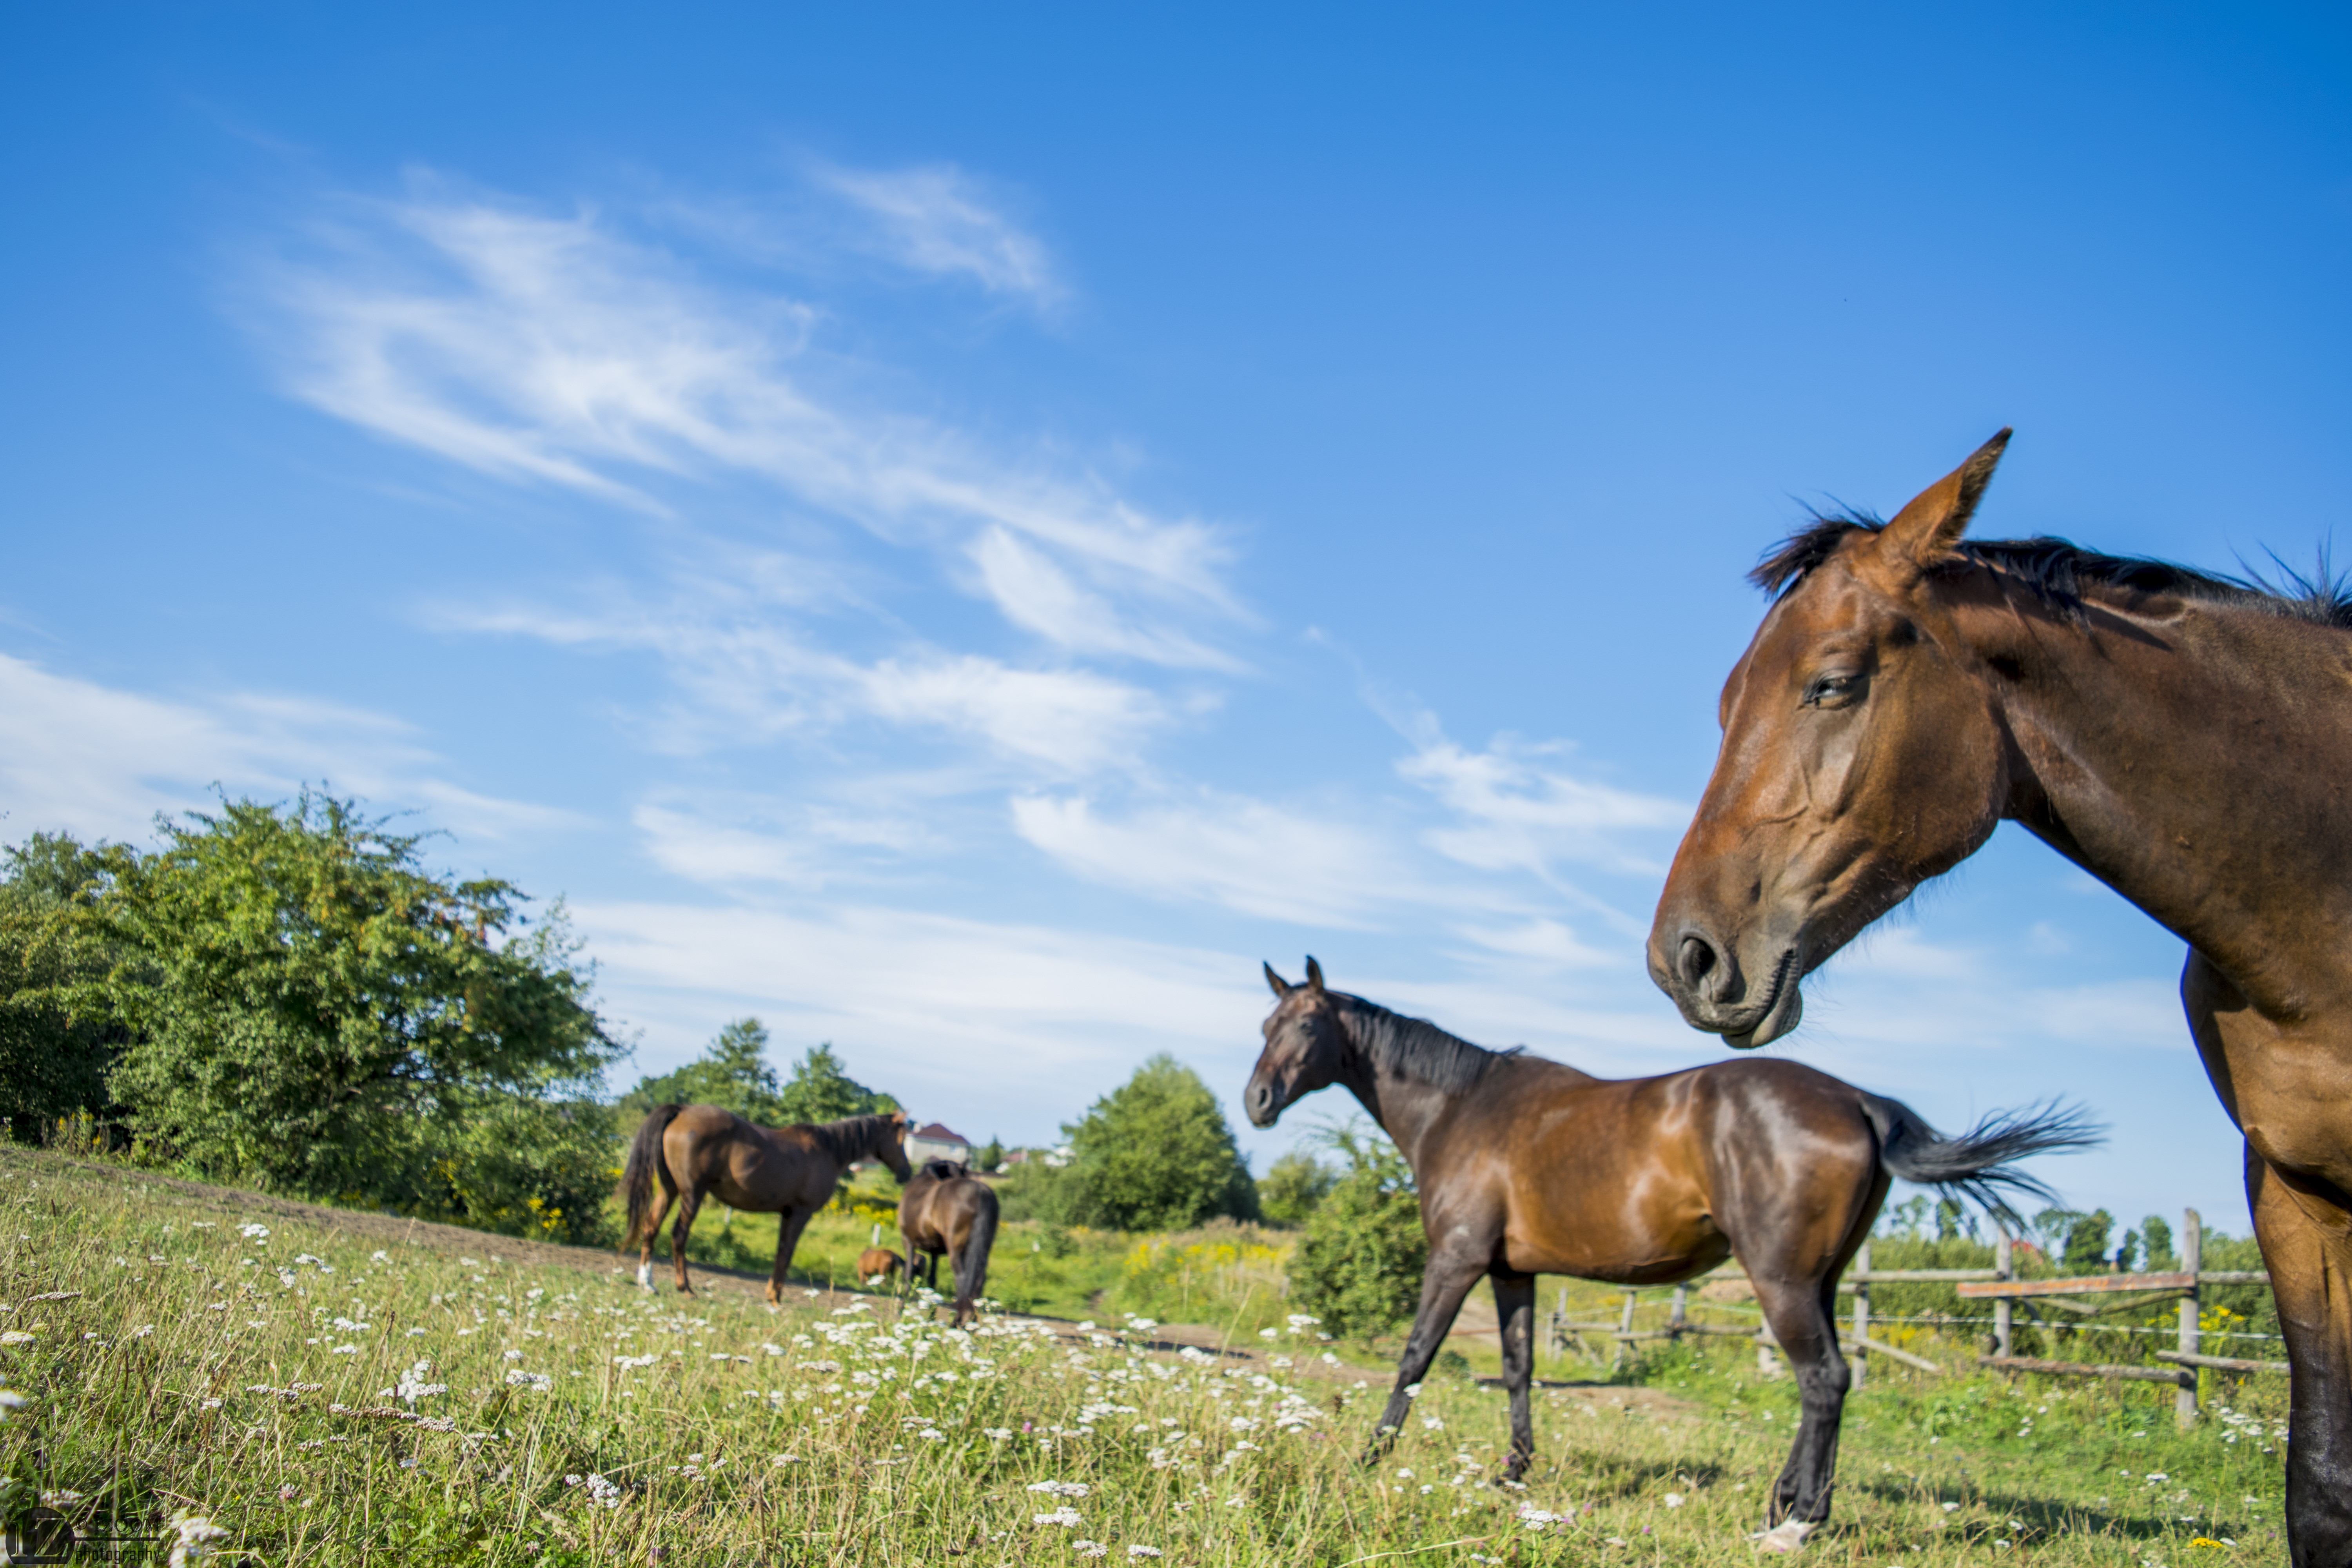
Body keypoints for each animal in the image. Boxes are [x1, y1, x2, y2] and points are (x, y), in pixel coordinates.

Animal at [620, 1105, 912, 1301]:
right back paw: (686, 1288)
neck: (828, 1150)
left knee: (651, 1228)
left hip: (668, 1190)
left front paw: (773, 1294)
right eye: (902, 1139)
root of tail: (682, 1112)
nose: (907, 1173)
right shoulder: (800, 1213)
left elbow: (781, 1252)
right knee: (679, 1234)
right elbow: (786, 1253)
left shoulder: (787, 1213)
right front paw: (775, 1298)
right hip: (693, 1193)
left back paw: (648, 1284)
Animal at [898, 1158, 1001, 1327]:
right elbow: (932, 1282)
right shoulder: (935, 1251)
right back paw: (971, 1323)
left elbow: (908, 1274)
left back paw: (957, 1321)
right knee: (979, 1280)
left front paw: (901, 1311)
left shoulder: (908, 1241)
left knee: (962, 1280)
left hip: (957, 1251)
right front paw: (931, 1317)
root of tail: (981, 1192)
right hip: (982, 1249)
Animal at [1246, 959, 2095, 1548]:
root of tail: (1858, 1100)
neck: (1463, 1107)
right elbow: (1519, 1368)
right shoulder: (1513, 1271)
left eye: (1306, 1026)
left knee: (1823, 1378)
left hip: (1780, 1280)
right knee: (1824, 1384)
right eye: (1265, 1027)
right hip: (1814, 1281)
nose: (1256, 1101)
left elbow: (1416, 1356)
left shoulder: (1456, 1261)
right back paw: (1782, 1503)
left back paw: (1800, 1522)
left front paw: (1370, 1457)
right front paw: (1512, 1472)